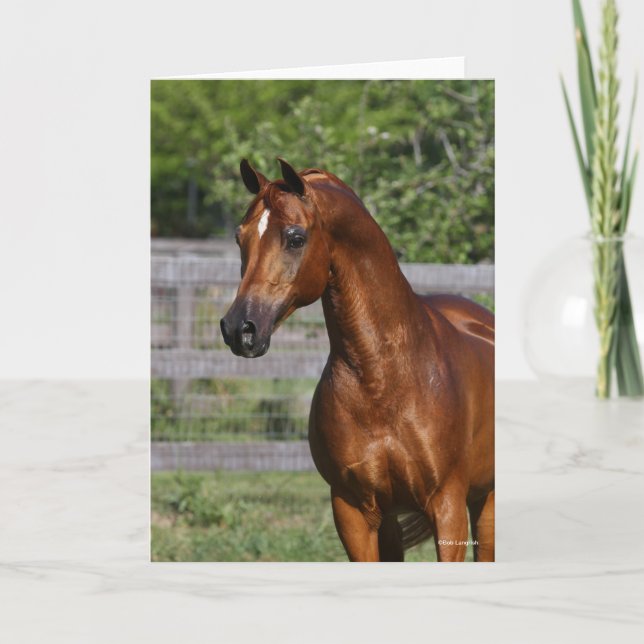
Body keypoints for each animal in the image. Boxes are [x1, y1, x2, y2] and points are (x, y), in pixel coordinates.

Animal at [220, 158, 495, 562]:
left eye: (296, 238)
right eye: (241, 239)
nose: (239, 328)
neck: (381, 379)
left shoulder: (447, 505)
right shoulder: (352, 510)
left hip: (483, 499)